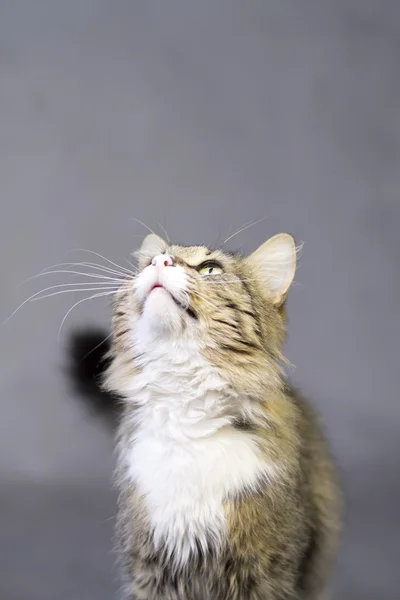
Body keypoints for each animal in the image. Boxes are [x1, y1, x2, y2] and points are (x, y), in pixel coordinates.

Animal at [68, 233, 340, 600]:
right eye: (151, 260)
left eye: (210, 269)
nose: (161, 262)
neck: (187, 421)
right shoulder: (150, 566)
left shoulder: (266, 567)